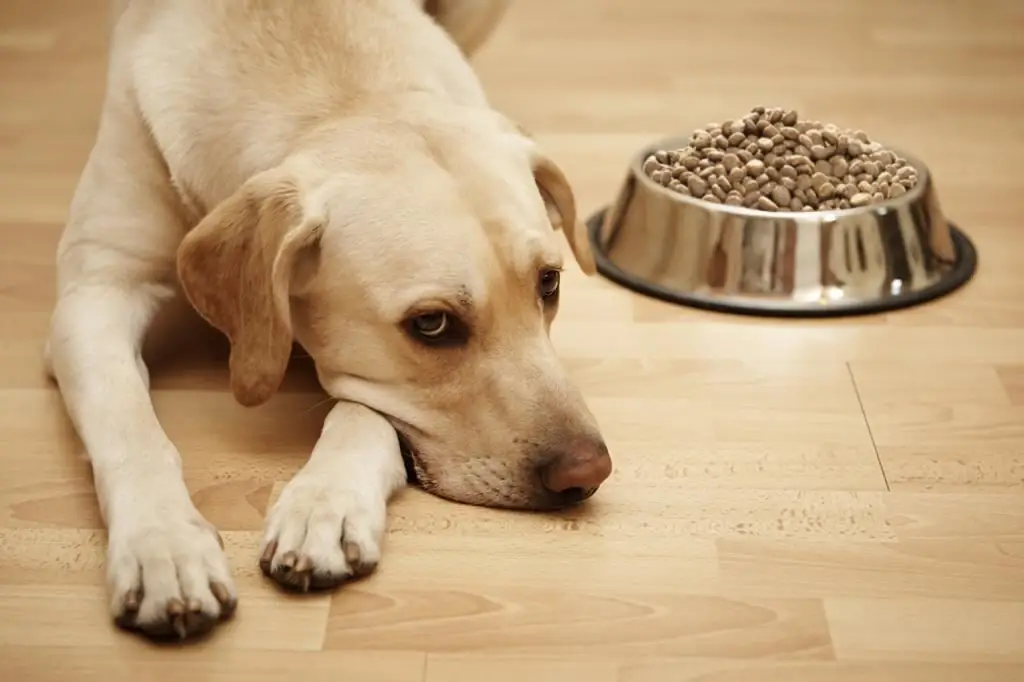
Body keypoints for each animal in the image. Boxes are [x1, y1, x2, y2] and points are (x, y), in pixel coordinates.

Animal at [44, 0, 610, 638]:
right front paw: (163, 545)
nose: (589, 471)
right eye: (432, 325)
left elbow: (363, 412)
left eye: (549, 283)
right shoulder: (95, 291)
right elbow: (129, 424)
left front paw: (325, 504)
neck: (339, 93)